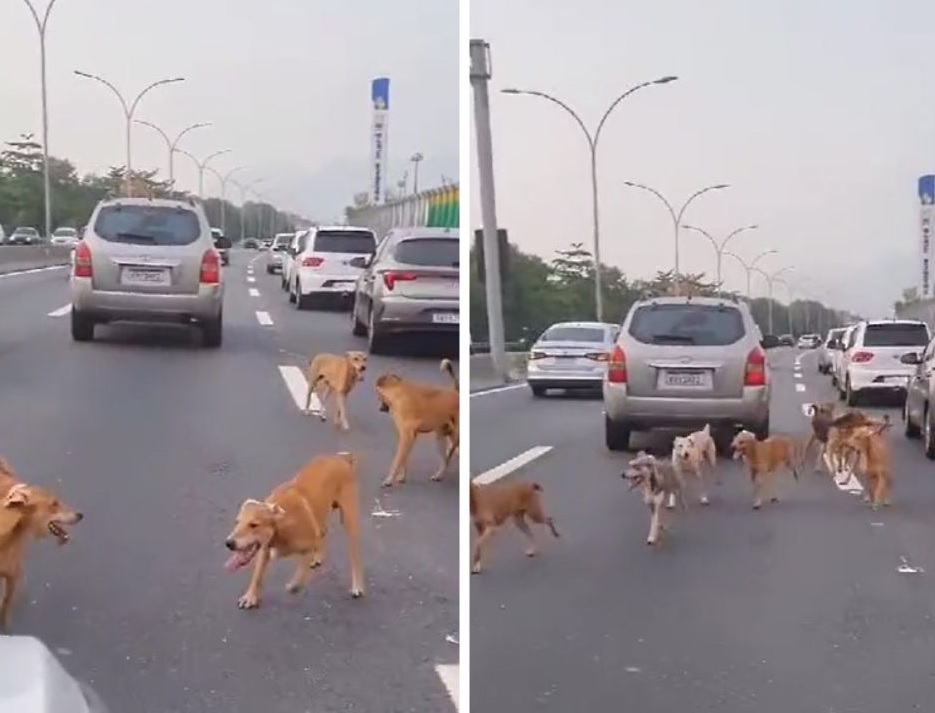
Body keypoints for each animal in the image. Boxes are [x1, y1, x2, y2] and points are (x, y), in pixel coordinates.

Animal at [223, 450, 362, 608]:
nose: (229, 543)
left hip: (349, 519)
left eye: (254, 525)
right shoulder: (264, 550)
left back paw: (357, 585)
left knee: (354, 555)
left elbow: (302, 571)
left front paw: (295, 585)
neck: (280, 527)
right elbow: (257, 575)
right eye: (237, 522)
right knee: (323, 531)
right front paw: (250, 595)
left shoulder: (308, 545)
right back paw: (318, 556)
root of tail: (341, 458)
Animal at [374, 358, 458, 486]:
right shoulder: (410, 437)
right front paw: (402, 477)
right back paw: (439, 474)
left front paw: (389, 479)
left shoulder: (406, 437)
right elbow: (404, 458)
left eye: (378, 395)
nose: (380, 408)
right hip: (441, 438)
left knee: (449, 456)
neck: (397, 392)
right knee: (446, 458)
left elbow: (397, 460)